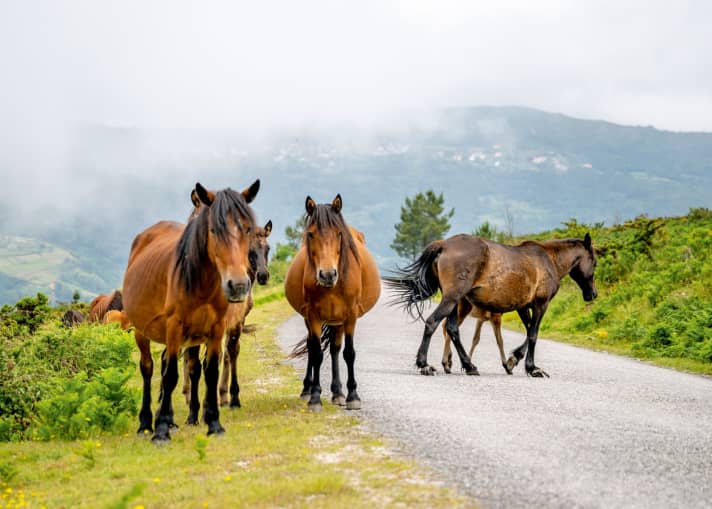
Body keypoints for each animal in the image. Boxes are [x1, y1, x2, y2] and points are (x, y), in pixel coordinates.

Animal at [122, 180, 259, 442]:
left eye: (248, 229)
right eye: (214, 230)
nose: (238, 285)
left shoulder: (215, 330)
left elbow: (210, 372)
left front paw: (213, 423)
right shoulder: (175, 327)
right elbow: (171, 376)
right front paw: (161, 430)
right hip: (142, 332)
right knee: (148, 369)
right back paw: (146, 423)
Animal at [285, 194, 381, 411]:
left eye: (339, 234)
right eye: (310, 235)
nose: (327, 274)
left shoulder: (351, 315)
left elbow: (349, 353)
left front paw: (353, 396)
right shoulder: (313, 315)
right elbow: (316, 354)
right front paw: (314, 398)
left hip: (338, 320)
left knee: (336, 349)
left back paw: (338, 393)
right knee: (313, 348)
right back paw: (308, 389)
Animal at [385, 233, 597, 377]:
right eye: (594, 262)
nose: (592, 294)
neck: (548, 259)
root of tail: (444, 245)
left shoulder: (522, 306)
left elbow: (528, 332)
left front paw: (513, 360)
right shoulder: (540, 304)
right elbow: (533, 335)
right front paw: (532, 368)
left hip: (454, 303)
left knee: (452, 329)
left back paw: (469, 366)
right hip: (452, 299)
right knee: (432, 323)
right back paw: (425, 365)